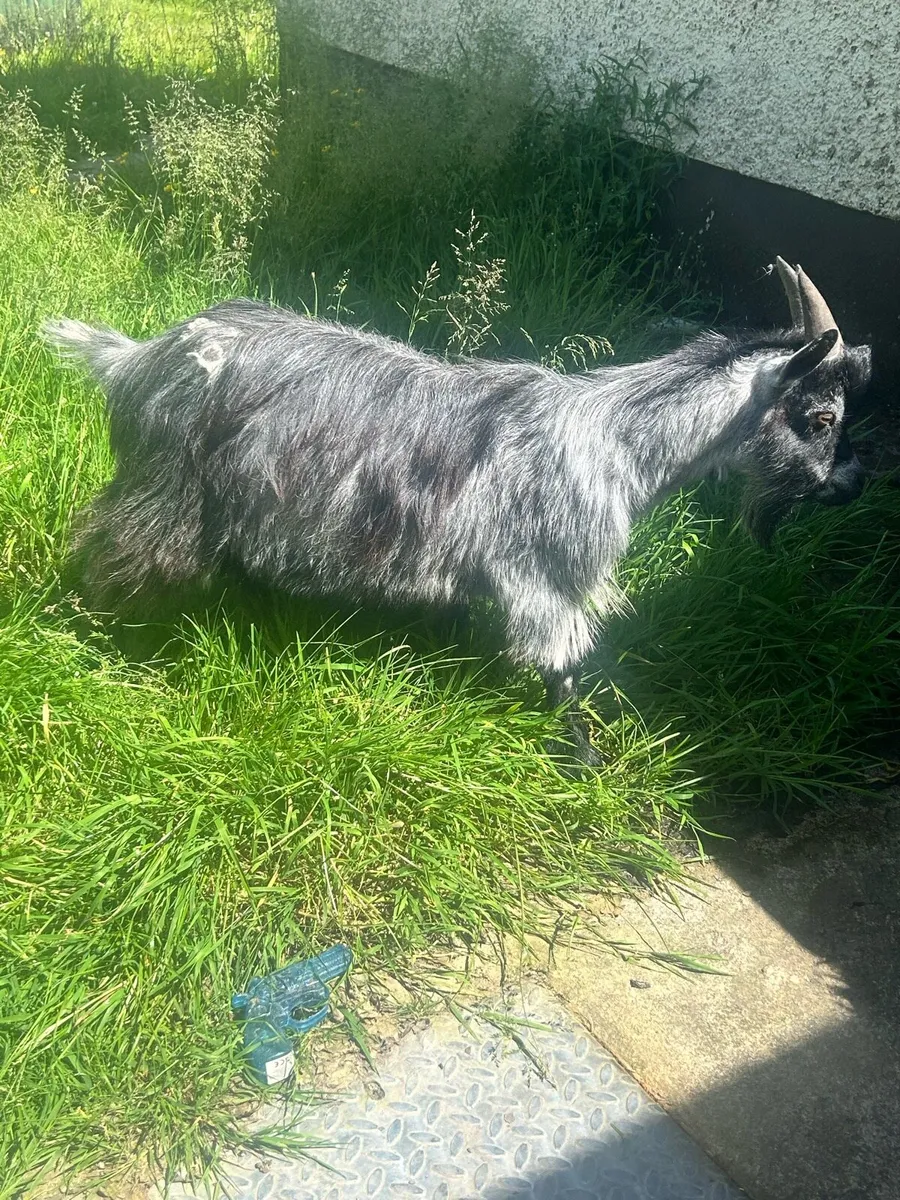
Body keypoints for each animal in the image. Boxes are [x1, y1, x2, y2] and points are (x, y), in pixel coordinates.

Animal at [42, 258, 870, 764]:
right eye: (822, 416)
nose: (851, 484)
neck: (622, 441)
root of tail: (136, 359)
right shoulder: (546, 576)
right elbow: (563, 669)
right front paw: (585, 761)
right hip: (169, 492)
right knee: (112, 549)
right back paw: (105, 641)